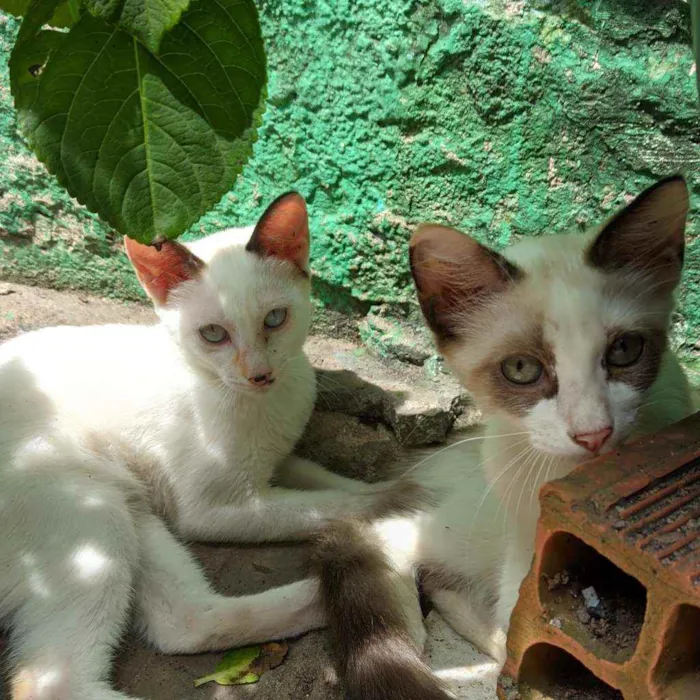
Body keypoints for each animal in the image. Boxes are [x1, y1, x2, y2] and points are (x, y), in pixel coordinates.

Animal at [0, 193, 382, 700]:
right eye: (213, 334)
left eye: (275, 318)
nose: (259, 374)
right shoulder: (214, 508)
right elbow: (338, 503)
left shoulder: (277, 464)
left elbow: (338, 484)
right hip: (86, 505)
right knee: (50, 683)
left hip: (130, 506)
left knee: (183, 622)